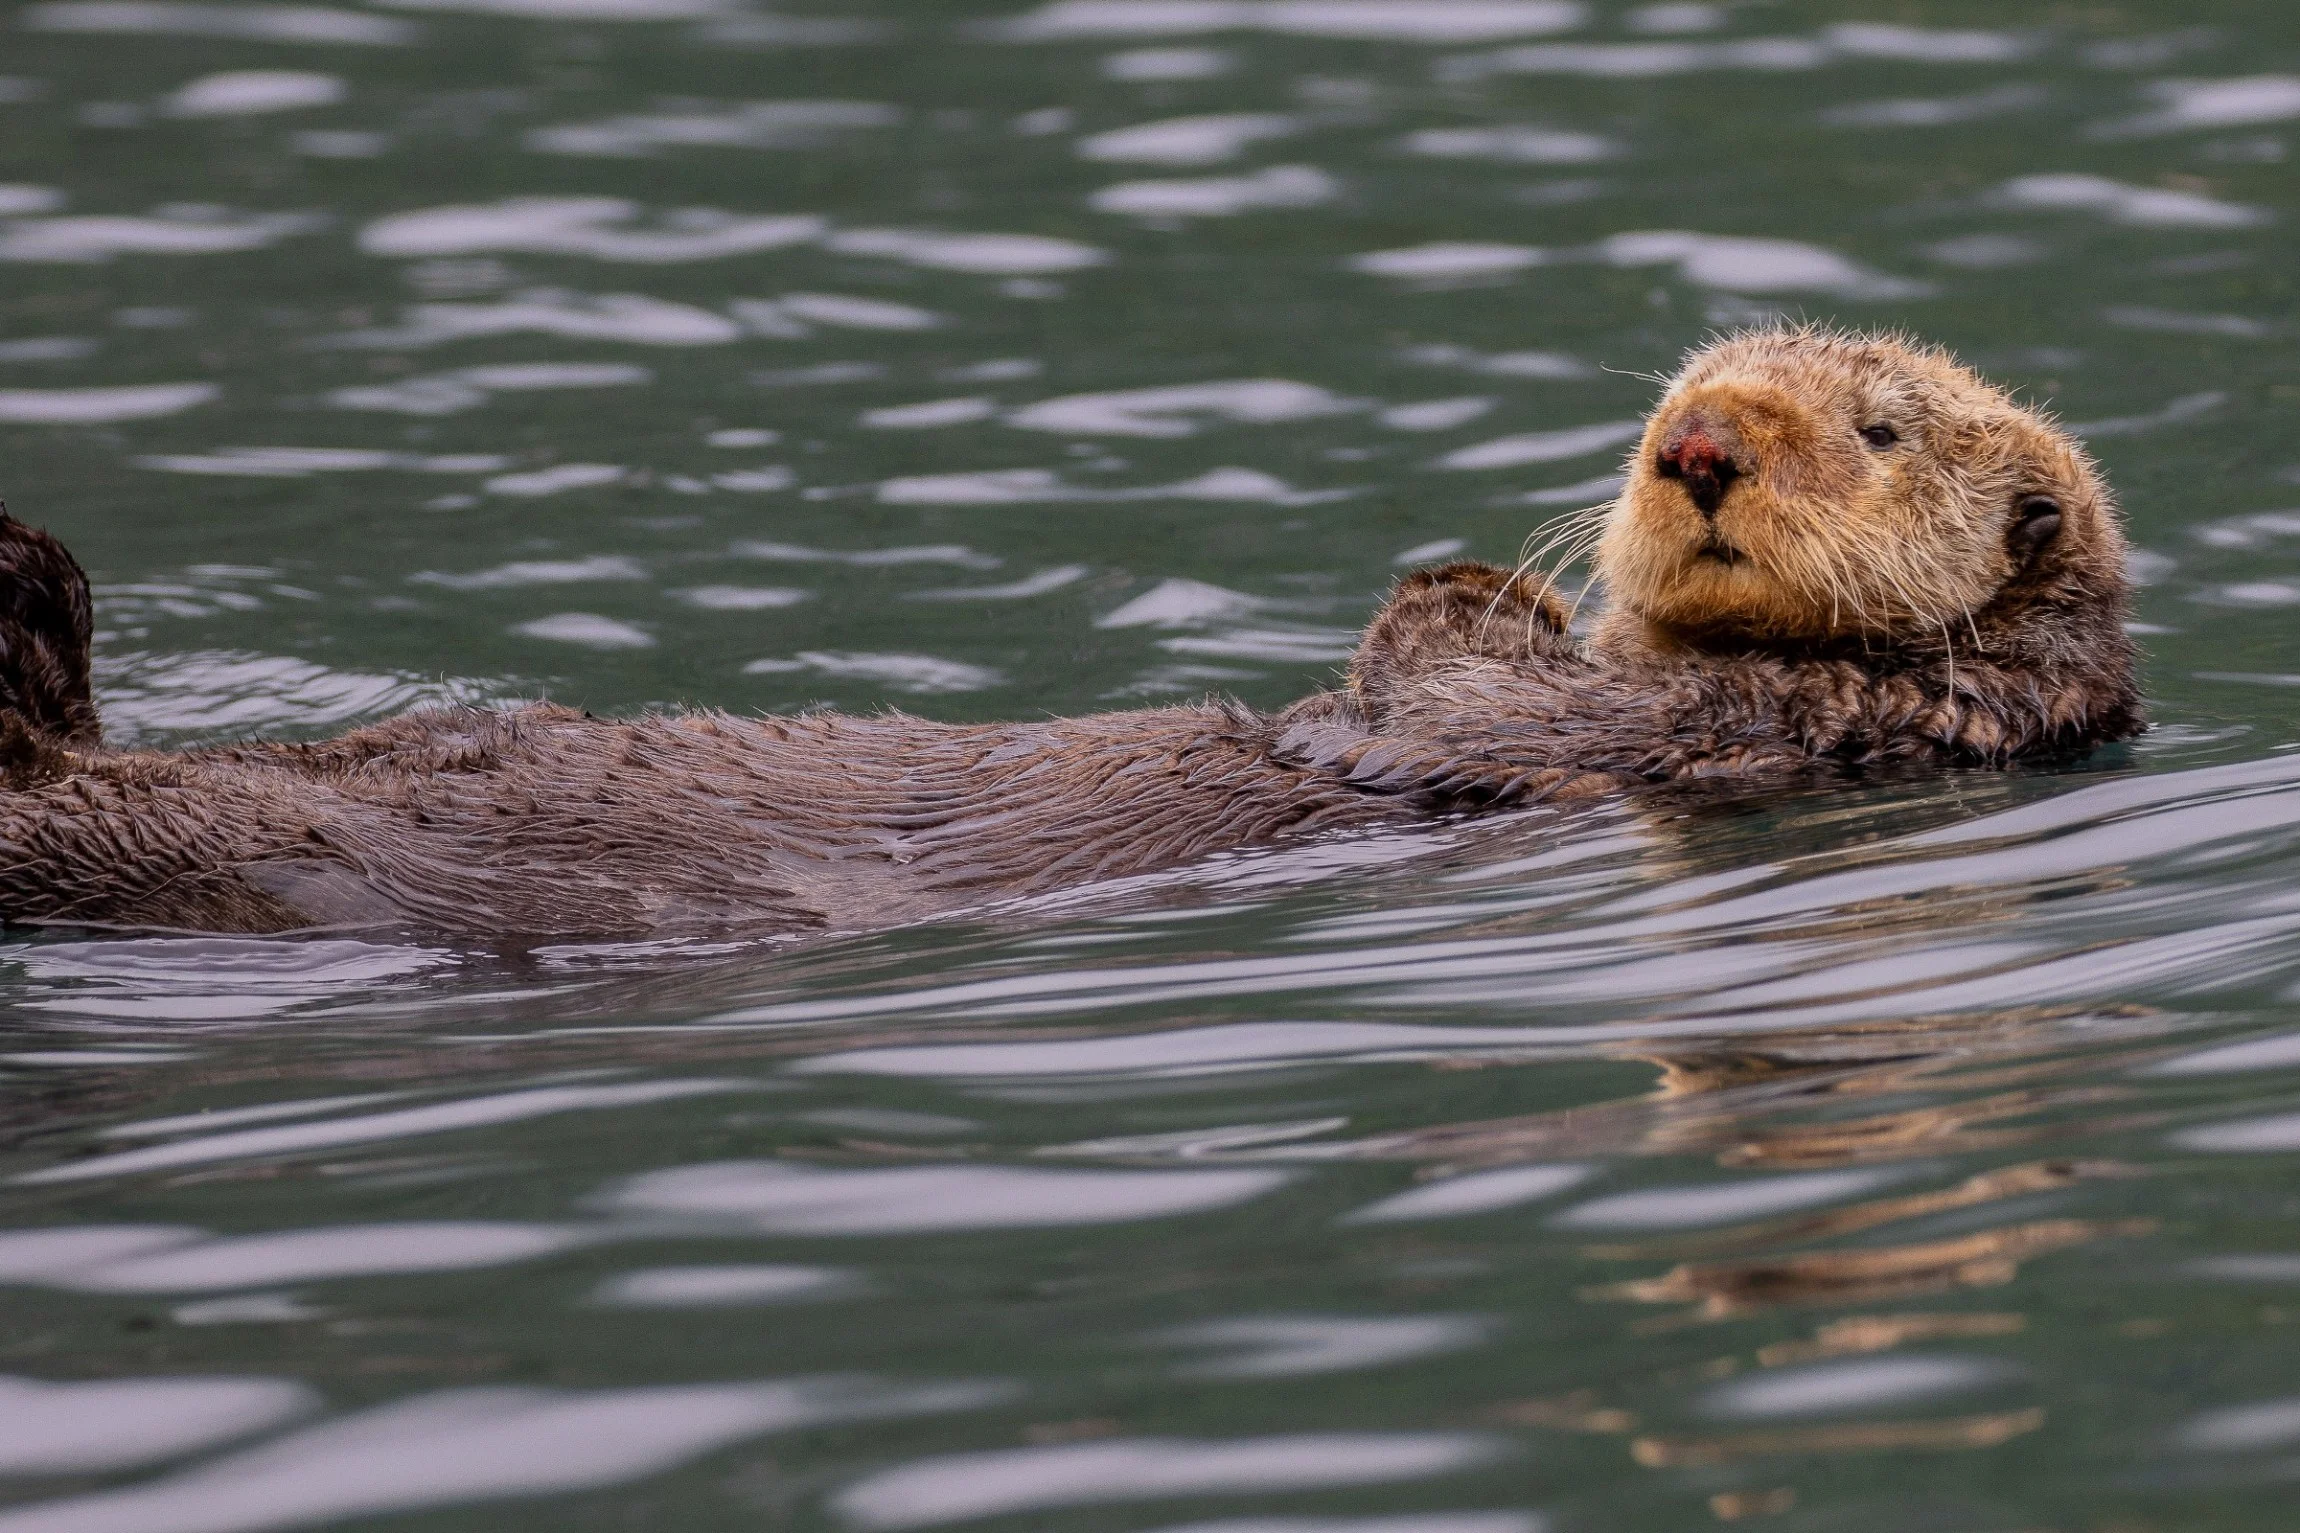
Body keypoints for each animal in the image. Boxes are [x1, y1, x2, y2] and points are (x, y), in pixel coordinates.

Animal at [0, 328, 2141, 940]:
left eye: (1878, 426)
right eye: (1679, 394)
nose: (1695, 448)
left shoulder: (1737, 728)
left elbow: (1434, 682)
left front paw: (1471, 586)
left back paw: (26, 589)